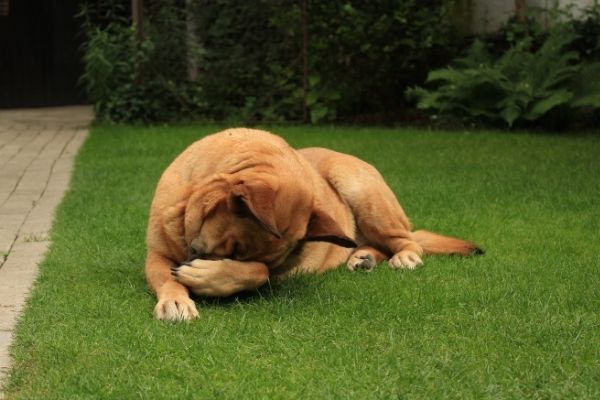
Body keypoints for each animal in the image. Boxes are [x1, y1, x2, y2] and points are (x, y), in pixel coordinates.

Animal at [145, 129, 482, 322]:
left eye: (236, 253)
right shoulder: (156, 255)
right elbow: (166, 276)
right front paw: (175, 299)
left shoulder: (272, 273)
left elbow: (259, 273)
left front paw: (208, 277)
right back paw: (364, 257)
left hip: (358, 186)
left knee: (405, 239)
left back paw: (404, 257)